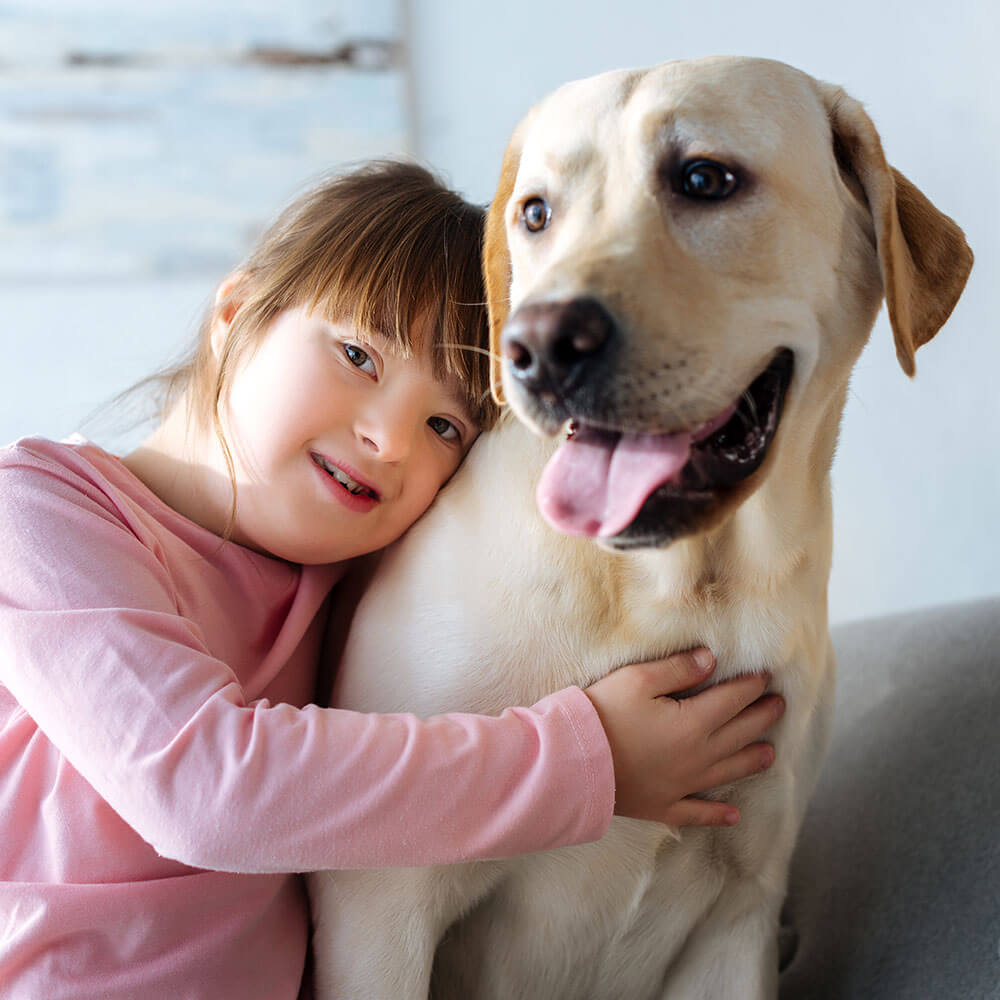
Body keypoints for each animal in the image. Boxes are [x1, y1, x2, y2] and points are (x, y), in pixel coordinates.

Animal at [308, 56, 972, 1000]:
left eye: (705, 180)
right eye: (535, 213)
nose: (539, 345)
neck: (677, 586)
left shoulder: (741, 917)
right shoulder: (380, 909)